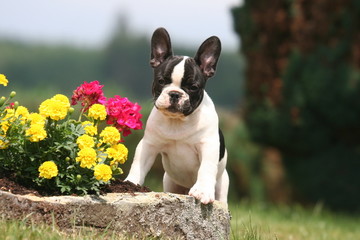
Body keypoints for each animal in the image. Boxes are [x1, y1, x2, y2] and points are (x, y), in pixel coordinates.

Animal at [125, 28, 229, 204]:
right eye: (161, 81)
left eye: (193, 87)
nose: (175, 93)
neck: (177, 122)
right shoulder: (149, 144)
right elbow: (138, 164)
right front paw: (130, 183)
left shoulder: (208, 145)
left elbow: (206, 168)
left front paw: (202, 191)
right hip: (169, 182)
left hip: (223, 185)